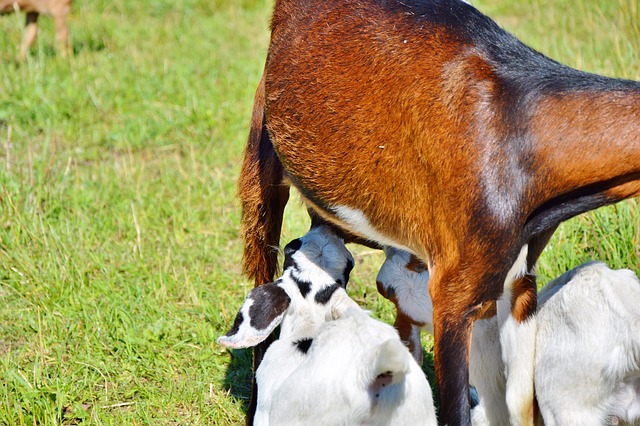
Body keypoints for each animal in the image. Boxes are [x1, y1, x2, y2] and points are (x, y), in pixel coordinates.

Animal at [238, 1, 640, 424]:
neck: (515, 130)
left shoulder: (519, 280)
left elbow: (519, 404)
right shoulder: (453, 294)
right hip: (261, 164)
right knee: (264, 274)